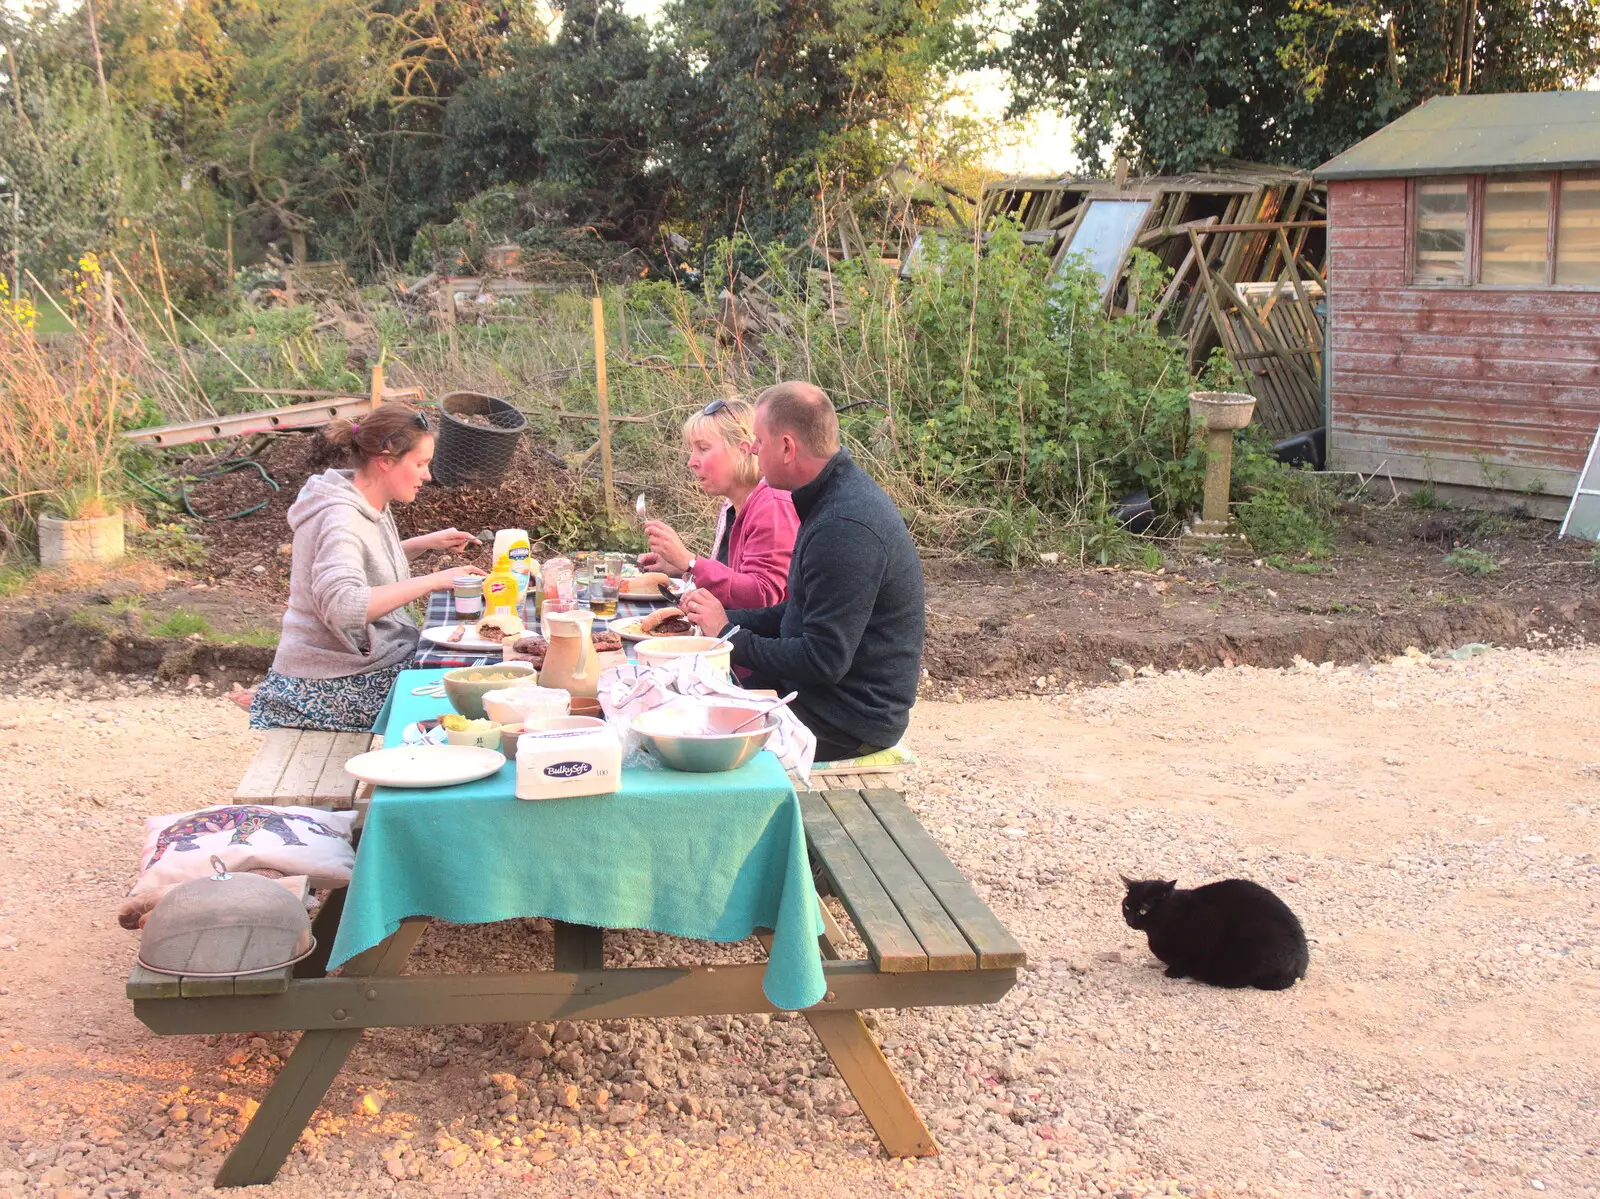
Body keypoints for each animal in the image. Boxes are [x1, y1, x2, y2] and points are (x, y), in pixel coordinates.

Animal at [1120, 877, 1305, 986]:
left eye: (1144, 910)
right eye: (1127, 906)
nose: (1130, 921)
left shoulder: (1201, 941)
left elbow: (1185, 961)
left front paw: (1173, 972)